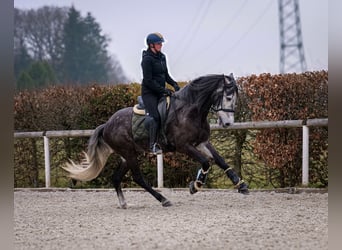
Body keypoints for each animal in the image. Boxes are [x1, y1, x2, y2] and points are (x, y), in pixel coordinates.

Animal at [62, 73, 247, 208]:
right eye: (228, 97)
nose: (228, 124)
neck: (191, 110)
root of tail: (106, 125)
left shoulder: (202, 142)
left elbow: (219, 160)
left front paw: (240, 185)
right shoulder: (184, 146)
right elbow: (206, 162)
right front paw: (196, 185)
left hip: (127, 155)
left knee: (116, 178)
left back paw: (123, 203)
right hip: (129, 154)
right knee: (138, 178)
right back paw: (163, 199)